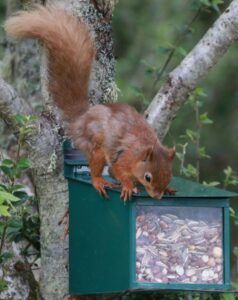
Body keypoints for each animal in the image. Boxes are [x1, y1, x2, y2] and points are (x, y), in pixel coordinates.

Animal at [5, 4, 176, 200]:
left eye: (169, 175)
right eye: (148, 177)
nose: (157, 197)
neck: (142, 149)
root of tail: (82, 117)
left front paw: (168, 189)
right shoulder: (124, 158)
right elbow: (118, 170)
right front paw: (127, 185)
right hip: (96, 145)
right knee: (96, 166)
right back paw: (99, 181)